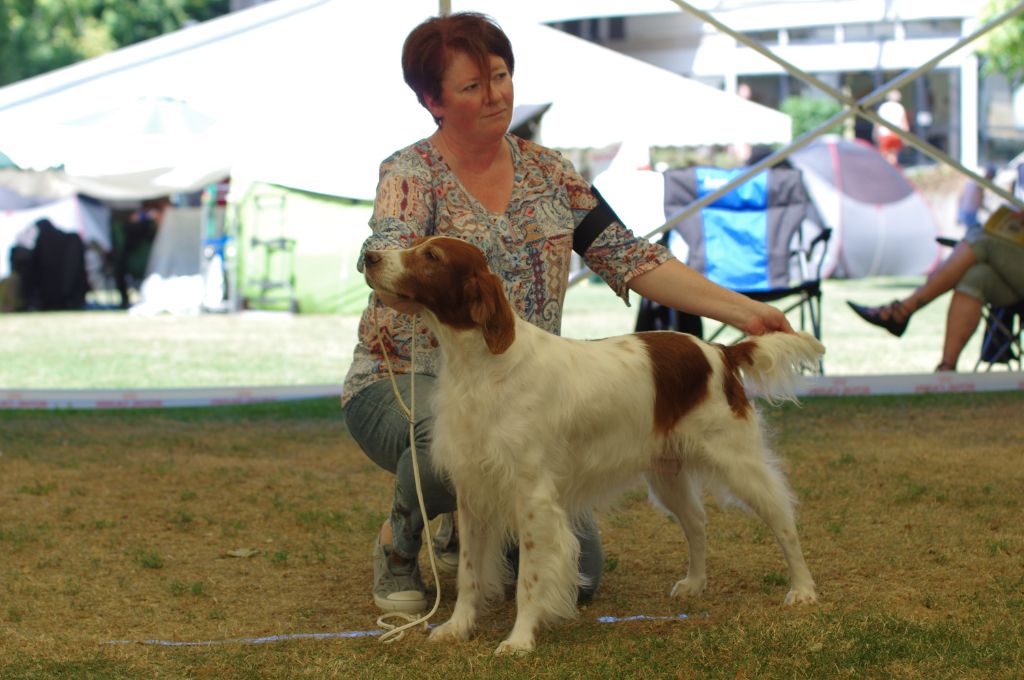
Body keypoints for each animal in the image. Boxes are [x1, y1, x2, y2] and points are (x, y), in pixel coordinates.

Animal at [364, 235, 819, 655]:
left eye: (431, 256)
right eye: (416, 245)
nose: (369, 256)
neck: (482, 367)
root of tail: (720, 351)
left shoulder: (533, 498)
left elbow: (529, 579)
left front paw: (519, 640)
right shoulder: (474, 493)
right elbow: (469, 573)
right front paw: (457, 627)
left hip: (739, 461)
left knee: (783, 520)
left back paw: (803, 590)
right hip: (667, 474)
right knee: (697, 524)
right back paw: (695, 583)